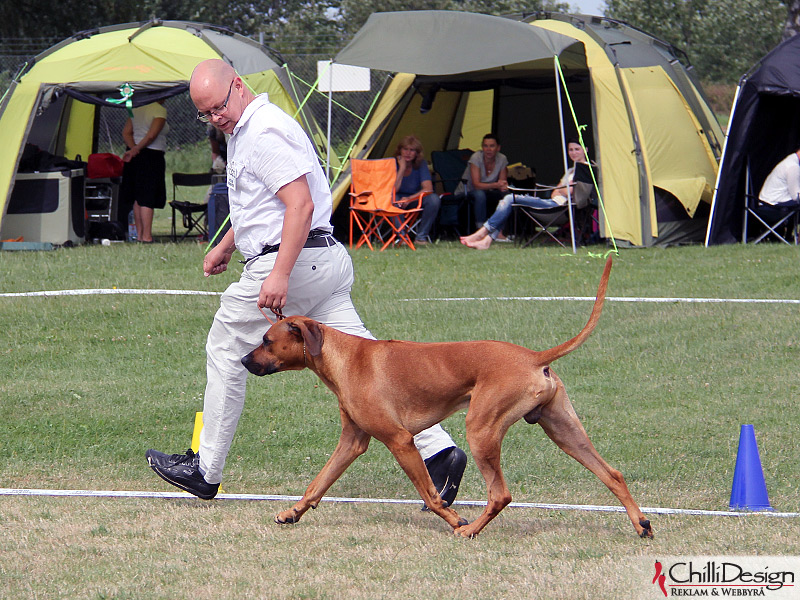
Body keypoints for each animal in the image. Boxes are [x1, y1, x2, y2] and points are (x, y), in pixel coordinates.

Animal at [242, 258, 648, 540]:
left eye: (266, 340)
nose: (244, 361)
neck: (343, 356)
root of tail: (533, 357)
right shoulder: (352, 441)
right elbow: (318, 483)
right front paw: (292, 513)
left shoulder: (400, 441)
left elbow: (432, 494)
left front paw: (455, 520)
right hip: (564, 431)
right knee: (612, 473)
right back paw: (641, 522)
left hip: (482, 431)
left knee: (500, 495)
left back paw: (470, 531)